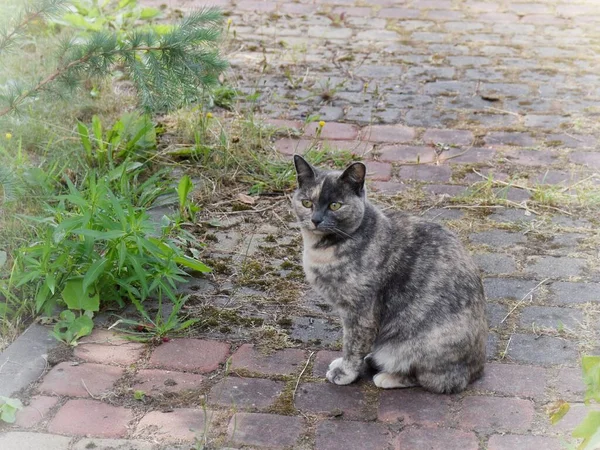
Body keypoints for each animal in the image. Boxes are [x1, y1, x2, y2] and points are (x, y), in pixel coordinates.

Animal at [292, 156, 488, 394]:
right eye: (306, 203)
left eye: (335, 205)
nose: (315, 219)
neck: (321, 250)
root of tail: (476, 370)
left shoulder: (360, 312)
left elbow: (352, 345)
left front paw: (345, 373)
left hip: (420, 344)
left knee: (436, 380)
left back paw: (387, 376)